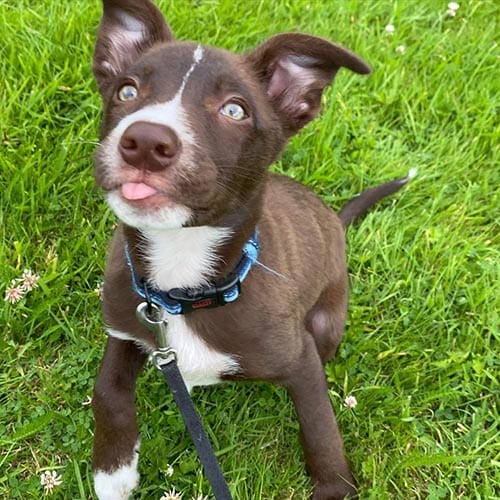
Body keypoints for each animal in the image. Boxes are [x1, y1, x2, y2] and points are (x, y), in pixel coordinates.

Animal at [89, 1, 410, 498]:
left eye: (235, 109)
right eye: (127, 90)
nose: (144, 142)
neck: (181, 284)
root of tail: (335, 223)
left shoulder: (301, 360)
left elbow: (321, 432)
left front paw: (333, 486)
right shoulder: (128, 320)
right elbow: (106, 389)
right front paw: (114, 469)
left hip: (326, 326)